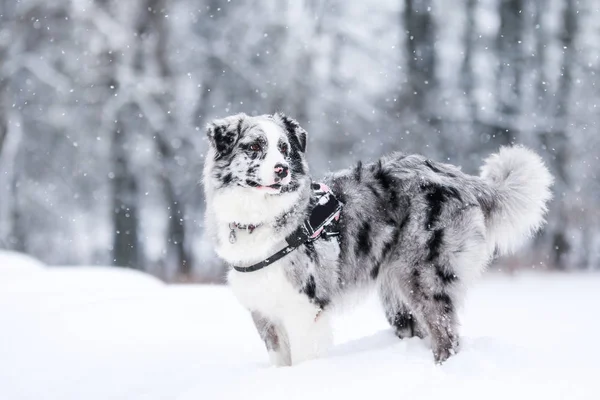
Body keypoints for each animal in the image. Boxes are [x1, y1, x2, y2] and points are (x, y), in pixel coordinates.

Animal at [203, 111, 552, 366]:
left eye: (284, 149)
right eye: (253, 146)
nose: (282, 170)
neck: (260, 219)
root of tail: (460, 178)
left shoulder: (306, 306)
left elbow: (303, 359)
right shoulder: (264, 311)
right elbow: (280, 360)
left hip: (423, 278)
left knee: (446, 336)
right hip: (395, 290)